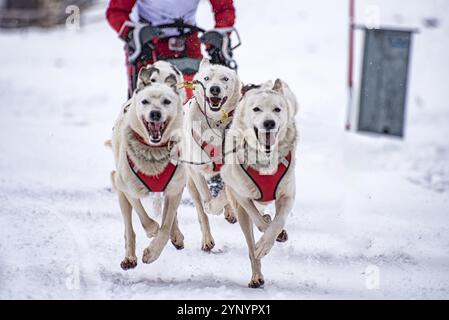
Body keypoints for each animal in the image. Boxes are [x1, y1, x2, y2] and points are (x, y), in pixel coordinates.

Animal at [110, 63, 186, 268]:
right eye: (145, 102)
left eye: (167, 102)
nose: (155, 113)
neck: (153, 150)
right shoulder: (129, 189)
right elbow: (145, 218)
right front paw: (152, 230)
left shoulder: (175, 188)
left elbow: (166, 226)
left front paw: (152, 252)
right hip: (121, 194)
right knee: (129, 228)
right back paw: (129, 257)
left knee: (171, 216)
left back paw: (176, 235)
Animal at [220, 78, 298, 288]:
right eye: (257, 109)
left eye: (277, 109)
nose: (269, 122)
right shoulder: (241, 195)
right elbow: (258, 220)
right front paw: (264, 238)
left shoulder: (287, 195)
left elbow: (278, 222)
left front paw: (268, 240)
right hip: (239, 210)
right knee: (250, 243)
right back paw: (256, 276)